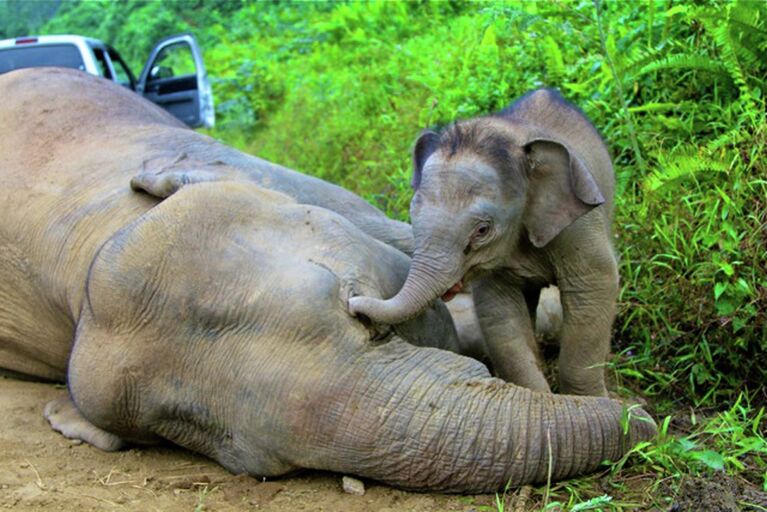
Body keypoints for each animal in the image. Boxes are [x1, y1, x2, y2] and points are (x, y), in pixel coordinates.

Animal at [352, 89, 616, 396]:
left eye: (482, 230)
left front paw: (592, 400)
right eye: (411, 215)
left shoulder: (579, 226)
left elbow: (594, 288)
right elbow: (499, 313)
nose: (353, 305)